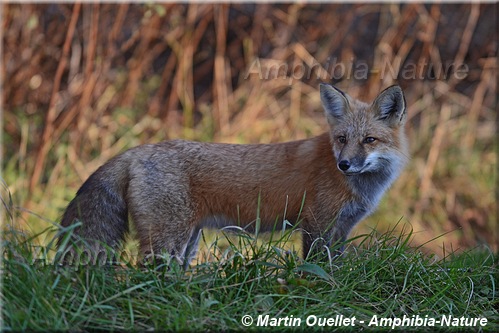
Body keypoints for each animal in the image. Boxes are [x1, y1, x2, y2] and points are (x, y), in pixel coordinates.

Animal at [57, 84, 410, 266]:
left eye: (369, 140)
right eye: (341, 139)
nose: (344, 164)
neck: (361, 188)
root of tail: (139, 149)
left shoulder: (342, 228)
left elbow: (334, 265)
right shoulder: (317, 224)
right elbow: (314, 269)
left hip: (187, 241)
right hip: (168, 240)